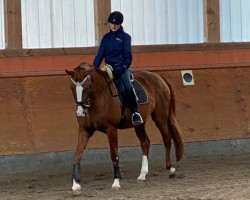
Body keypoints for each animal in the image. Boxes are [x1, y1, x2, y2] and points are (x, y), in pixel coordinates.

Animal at [65, 62, 185, 192]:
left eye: (87, 87)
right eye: (72, 88)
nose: (80, 113)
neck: (98, 99)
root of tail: (158, 76)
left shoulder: (111, 130)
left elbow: (114, 155)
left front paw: (116, 182)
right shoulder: (84, 130)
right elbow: (77, 154)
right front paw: (75, 183)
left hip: (160, 117)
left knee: (167, 138)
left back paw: (170, 169)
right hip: (139, 124)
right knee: (145, 143)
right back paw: (142, 174)